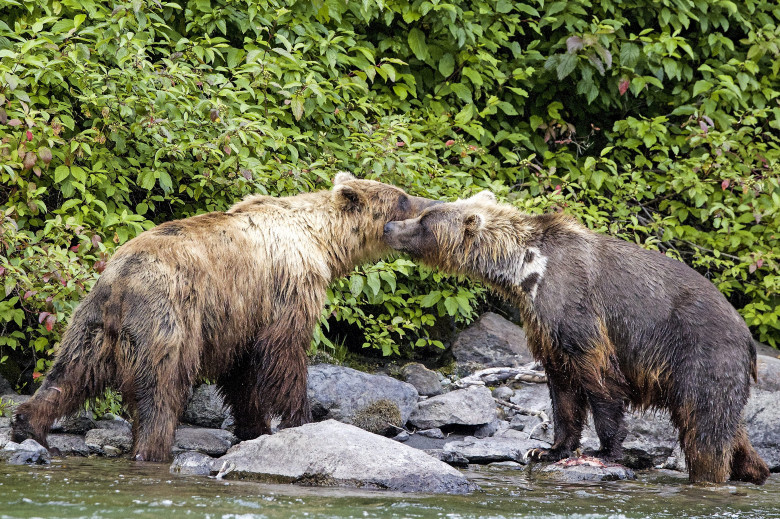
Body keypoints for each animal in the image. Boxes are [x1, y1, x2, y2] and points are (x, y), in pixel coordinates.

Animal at [13, 173, 438, 462]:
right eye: (401, 199)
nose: (429, 201)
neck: (322, 242)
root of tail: (121, 283)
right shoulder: (287, 286)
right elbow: (284, 353)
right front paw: (301, 420)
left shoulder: (241, 319)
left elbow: (242, 375)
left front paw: (255, 428)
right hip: (169, 323)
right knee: (161, 391)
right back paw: (152, 448)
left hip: (91, 326)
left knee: (67, 377)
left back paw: (27, 424)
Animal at [380, 192, 772, 488]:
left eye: (424, 221)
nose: (388, 225)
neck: (525, 271)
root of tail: (748, 337)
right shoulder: (544, 325)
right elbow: (563, 389)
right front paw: (547, 449)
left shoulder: (577, 306)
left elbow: (599, 381)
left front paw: (603, 451)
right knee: (732, 429)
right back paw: (753, 470)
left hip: (702, 355)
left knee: (705, 425)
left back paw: (707, 476)